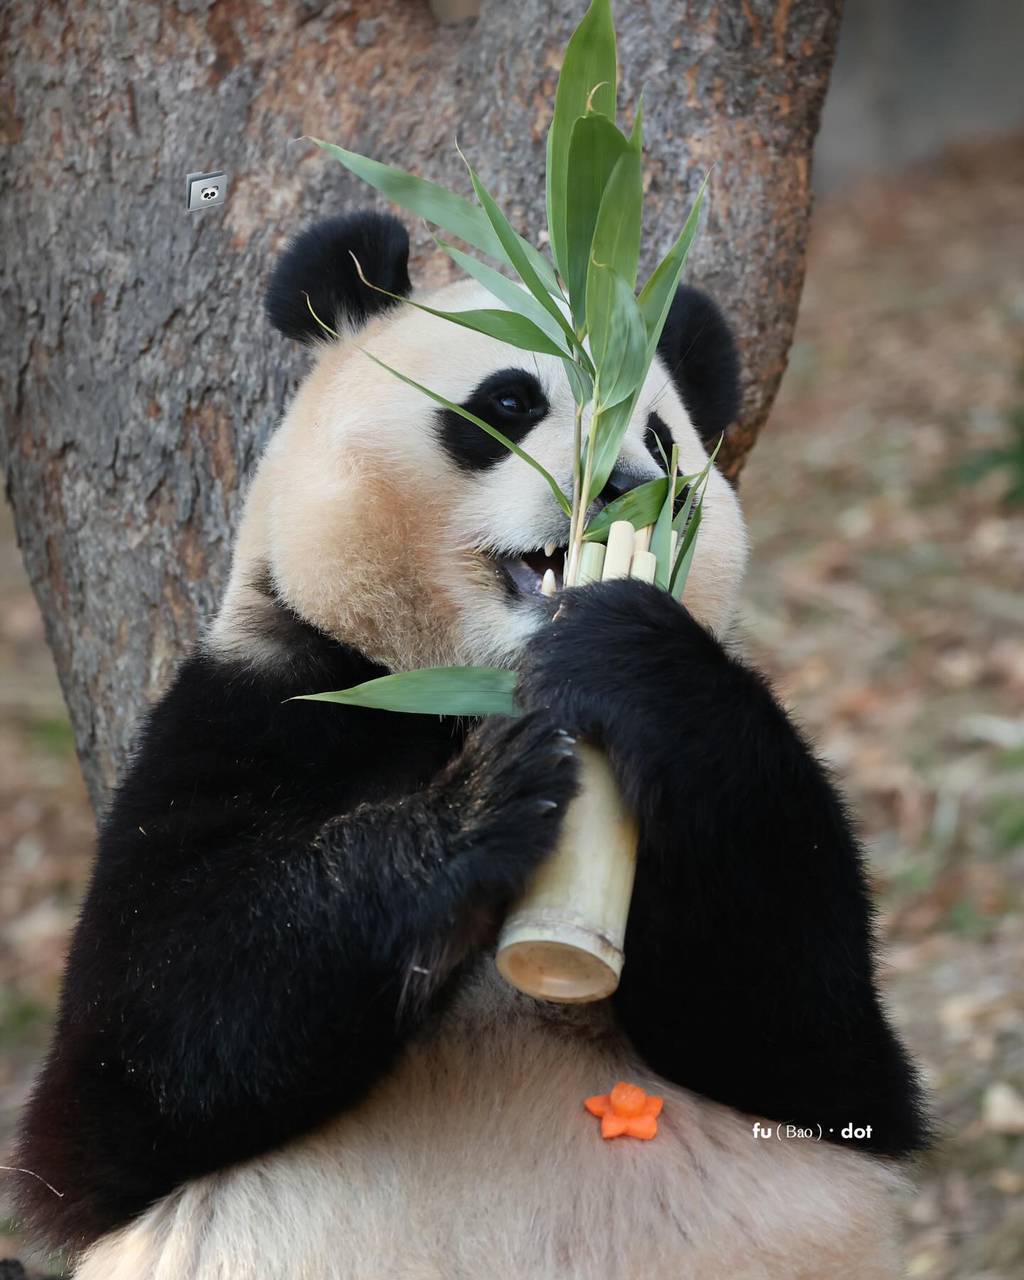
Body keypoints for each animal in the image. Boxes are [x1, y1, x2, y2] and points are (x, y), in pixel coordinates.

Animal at [16, 204, 926, 1274]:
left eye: (664, 439)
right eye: (509, 399)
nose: (623, 487)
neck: (469, 686)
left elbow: (811, 1035)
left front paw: (630, 656)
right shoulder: (259, 708)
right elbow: (142, 1044)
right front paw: (481, 811)